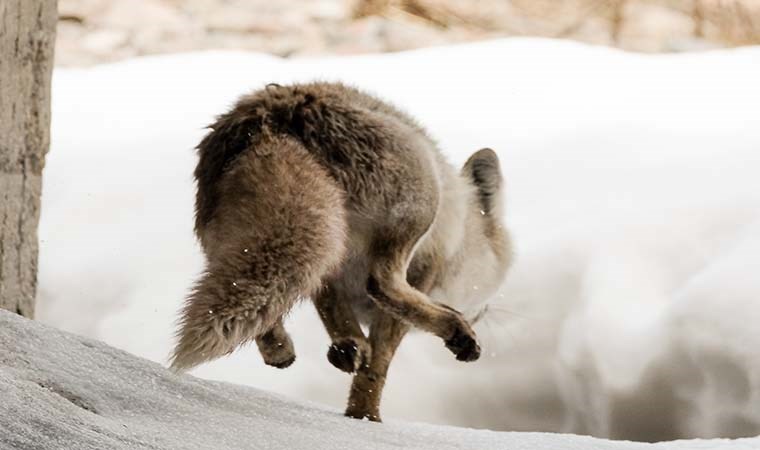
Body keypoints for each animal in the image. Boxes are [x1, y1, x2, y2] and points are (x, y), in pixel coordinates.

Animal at [170, 81, 512, 422]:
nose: (485, 313)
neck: (461, 236)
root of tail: (272, 116)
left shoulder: (335, 278)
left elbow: (337, 315)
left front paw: (350, 357)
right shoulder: (422, 273)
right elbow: (378, 365)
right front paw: (366, 417)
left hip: (254, 241)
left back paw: (283, 348)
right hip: (421, 196)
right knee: (382, 283)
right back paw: (456, 330)